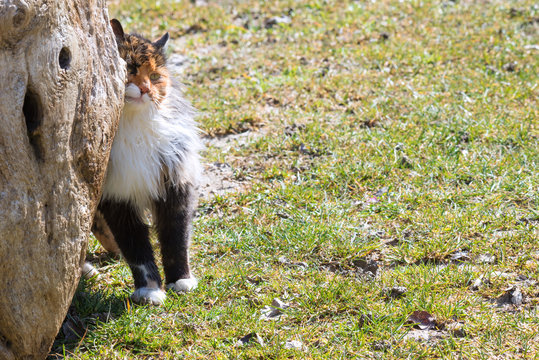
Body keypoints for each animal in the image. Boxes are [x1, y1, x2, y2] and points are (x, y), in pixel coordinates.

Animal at [88, 19, 202, 306]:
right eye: (130, 68)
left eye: (155, 77)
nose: (146, 90)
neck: (133, 128)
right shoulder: (117, 198)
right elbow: (137, 250)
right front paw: (149, 291)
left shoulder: (175, 184)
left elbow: (176, 239)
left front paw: (180, 281)